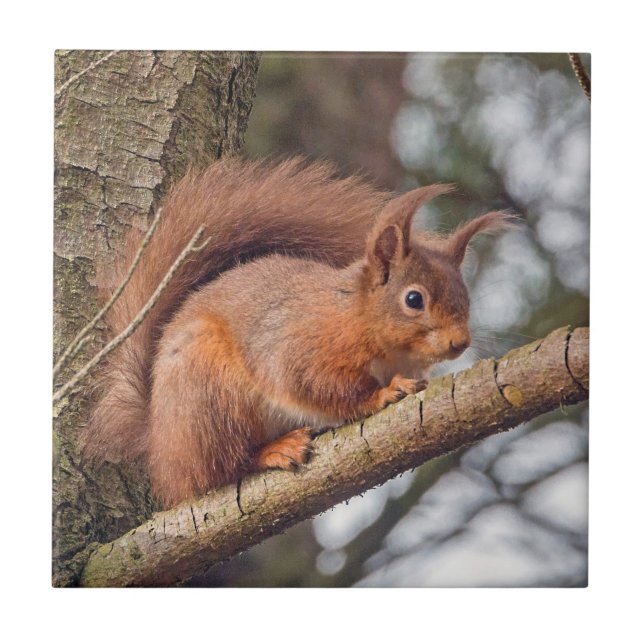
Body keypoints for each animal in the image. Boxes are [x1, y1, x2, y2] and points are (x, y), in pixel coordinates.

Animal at [84, 156, 510, 509]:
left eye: (465, 295)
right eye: (414, 299)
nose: (460, 343)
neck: (355, 315)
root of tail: (158, 440)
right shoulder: (301, 346)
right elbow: (322, 387)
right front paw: (383, 393)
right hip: (210, 396)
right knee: (219, 471)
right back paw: (274, 451)